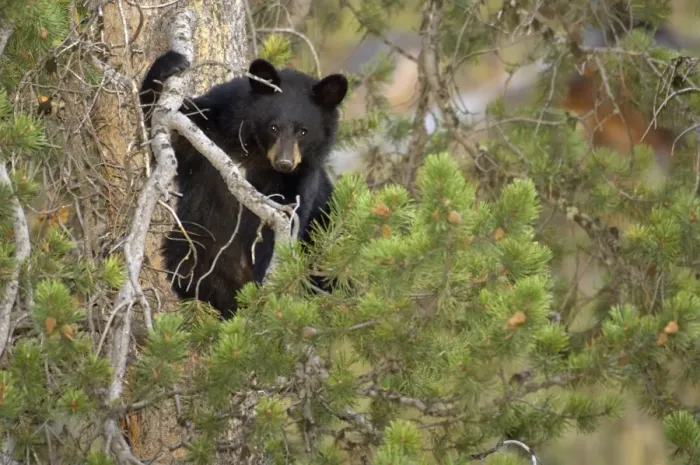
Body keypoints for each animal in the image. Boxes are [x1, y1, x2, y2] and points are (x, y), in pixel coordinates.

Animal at [139, 50, 348, 319]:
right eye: (273, 127)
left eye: (303, 131)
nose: (285, 163)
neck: (254, 152)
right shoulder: (210, 131)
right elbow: (167, 125)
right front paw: (170, 64)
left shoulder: (299, 183)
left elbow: (286, 222)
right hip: (200, 242)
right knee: (187, 262)